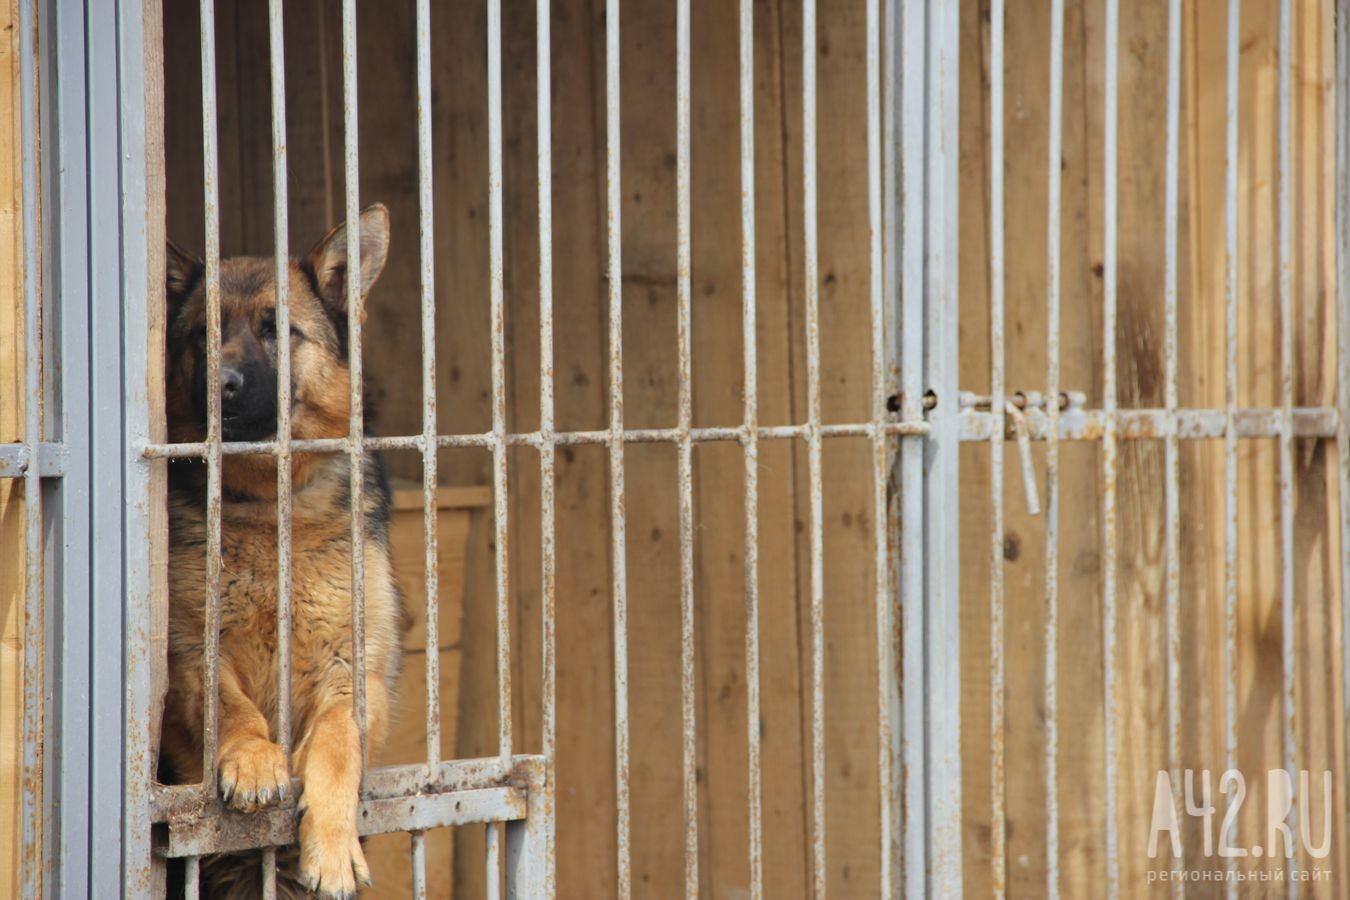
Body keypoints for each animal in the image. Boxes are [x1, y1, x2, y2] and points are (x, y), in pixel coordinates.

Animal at [159, 207, 399, 895]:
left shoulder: (354, 668)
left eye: (278, 330)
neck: (269, 511)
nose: (222, 384)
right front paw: (252, 758)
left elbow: (340, 743)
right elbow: (228, 705)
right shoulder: (190, 652)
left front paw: (333, 846)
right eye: (203, 334)